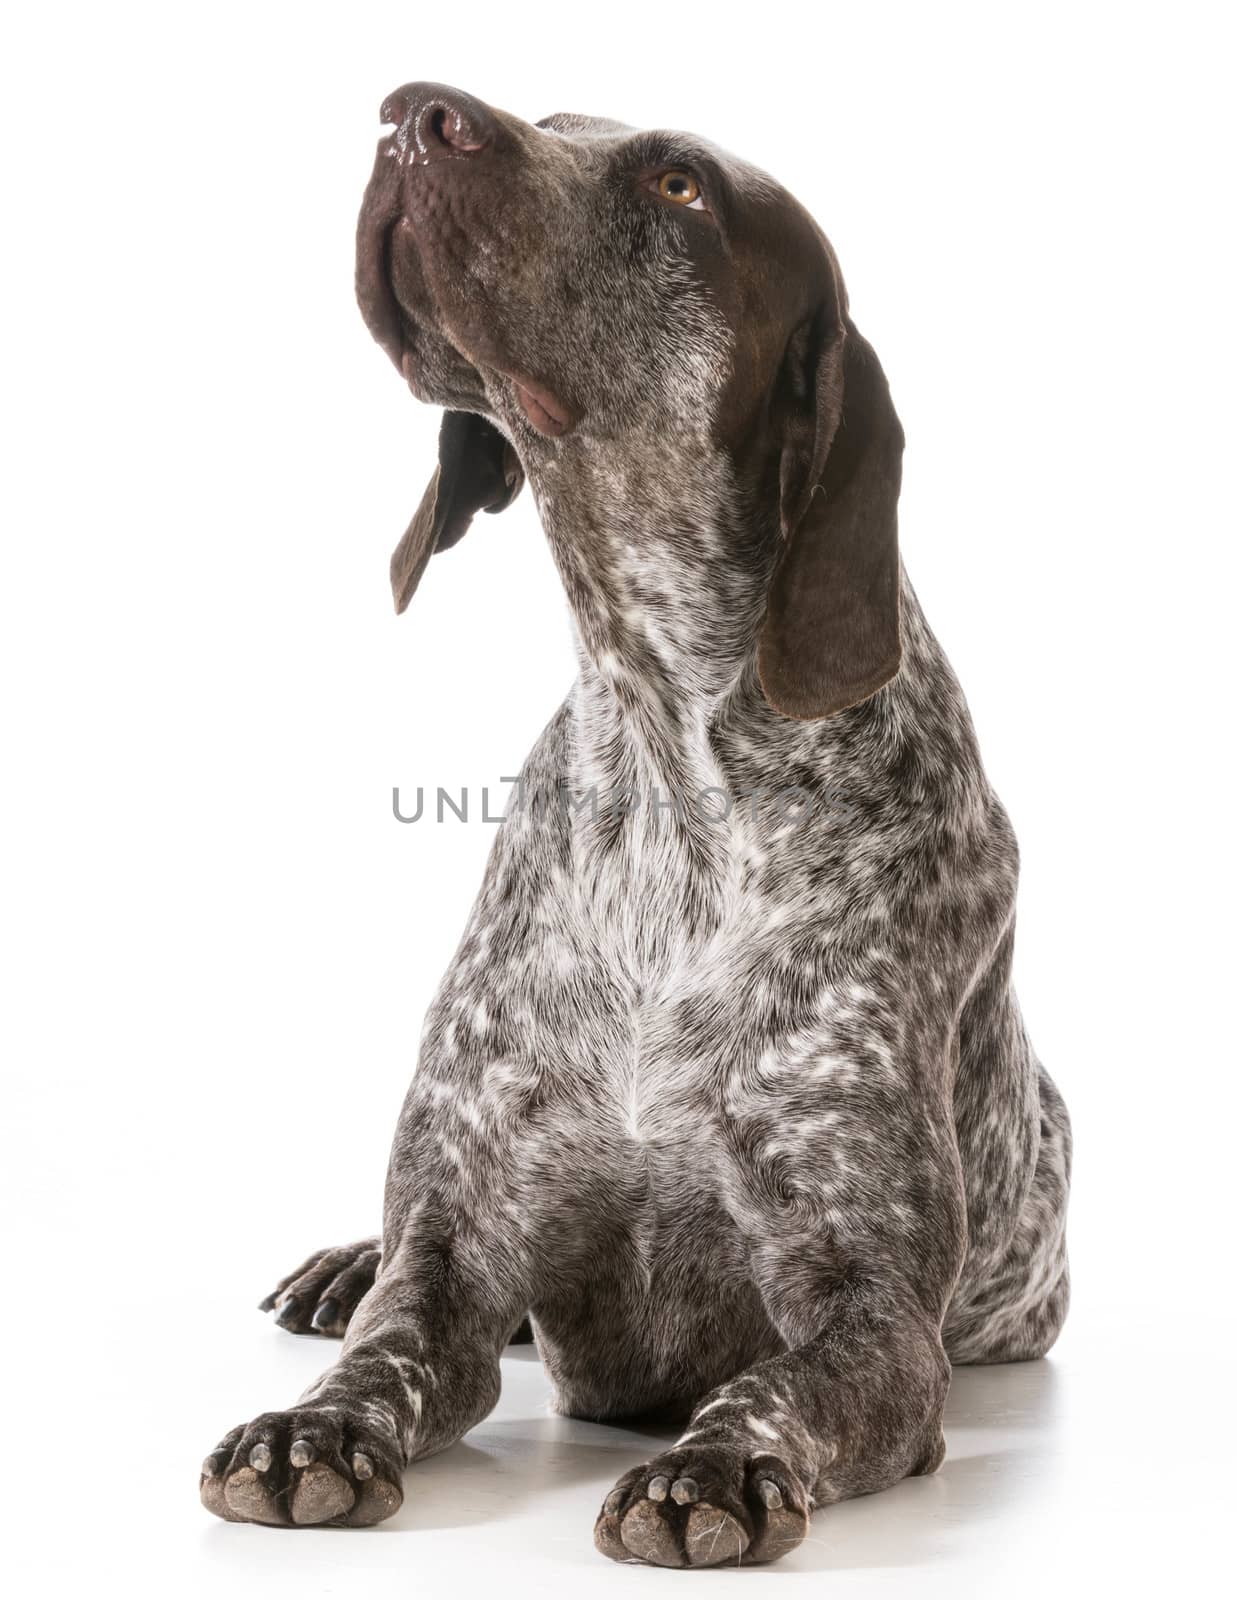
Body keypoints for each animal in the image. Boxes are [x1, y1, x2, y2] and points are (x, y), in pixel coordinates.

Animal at [197, 81, 1068, 1568]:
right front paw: (311, 1426)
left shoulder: (871, 1312)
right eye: (554, 122)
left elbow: (771, 1384)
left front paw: (713, 1466)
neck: (669, 756)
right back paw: (340, 1265)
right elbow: (388, 1346)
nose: (408, 115)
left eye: (680, 188)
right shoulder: (460, 1249)